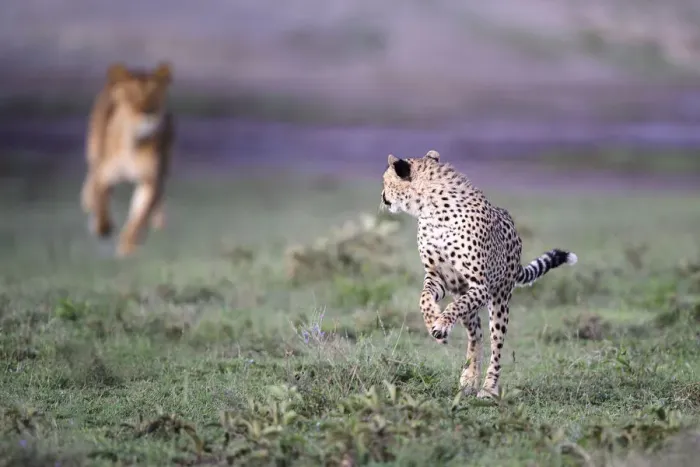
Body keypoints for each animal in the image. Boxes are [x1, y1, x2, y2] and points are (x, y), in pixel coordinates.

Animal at [80, 61, 175, 257]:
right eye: (132, 96)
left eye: (155, 94)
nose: (148, 113)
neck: (134, 142)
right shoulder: (104, 176)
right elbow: (101, 203)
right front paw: (103, 227)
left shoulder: (149, 181)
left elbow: (138, 218)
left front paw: (127, 246)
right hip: (93, 151)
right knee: (91, 177)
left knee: (159, 196)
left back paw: (158, 220)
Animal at [380, 149, 578, 399]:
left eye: (386, 181)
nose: (382, 197)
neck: (431, 210)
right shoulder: (439, 278)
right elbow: (424, 298)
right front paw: (432, 319)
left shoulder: (480, 287)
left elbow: (452, 309)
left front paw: (441, 324)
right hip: (462, 293)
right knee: (476, 335)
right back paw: (469, 379)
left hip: (500, 300)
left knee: (495, 344)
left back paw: (488, 388)